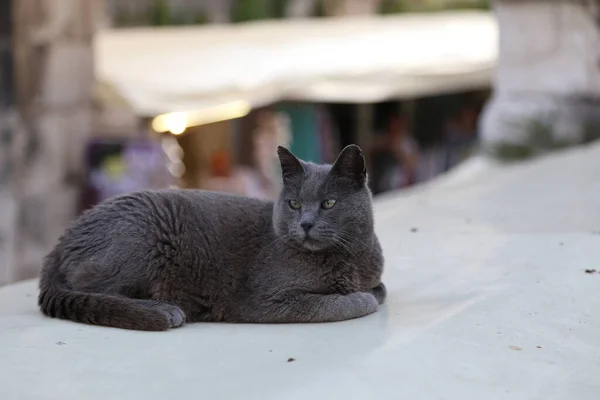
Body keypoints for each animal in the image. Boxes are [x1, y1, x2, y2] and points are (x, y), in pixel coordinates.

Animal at [37, 145, 386, 330]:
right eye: (295, 204)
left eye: (329, 203)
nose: (306, 224)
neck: (349, 259)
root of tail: (61, 242)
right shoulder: (269, 300)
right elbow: (349, 302)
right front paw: (358, 298)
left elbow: (379, 289)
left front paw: (368, 290)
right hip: (144, 236)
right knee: (92, 288)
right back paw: (162, 309)